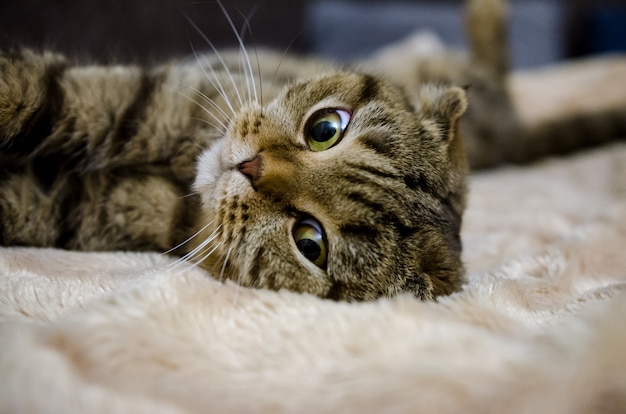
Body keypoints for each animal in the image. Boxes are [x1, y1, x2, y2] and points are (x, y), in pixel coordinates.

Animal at [0, 0, 620, 300]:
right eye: (326, 128)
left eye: (310, 242)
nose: (249, 165)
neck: (178, 169)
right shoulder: (138, 98)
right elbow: (24, 90)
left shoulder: (77, 207)